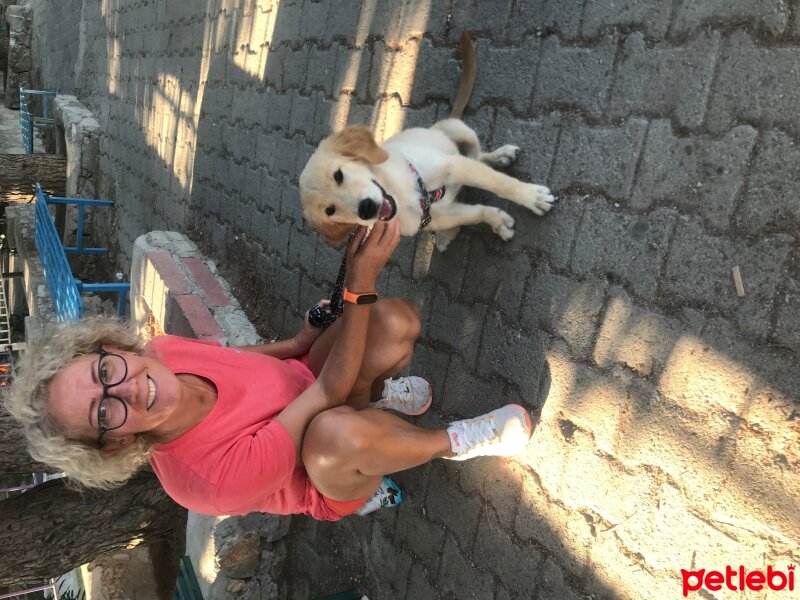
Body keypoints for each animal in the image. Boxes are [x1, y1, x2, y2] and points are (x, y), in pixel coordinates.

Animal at [296, 34, 552, 250]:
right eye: (330, 210)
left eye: (338, 175)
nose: (366, 209)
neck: (401, 195)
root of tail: (436, 127)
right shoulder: (438, 216)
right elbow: (476, 213)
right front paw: (497, 220)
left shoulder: (452, 166)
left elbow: (500, 183)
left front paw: (532, 197)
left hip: (458, 129)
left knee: (477, 155)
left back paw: (501, 156)